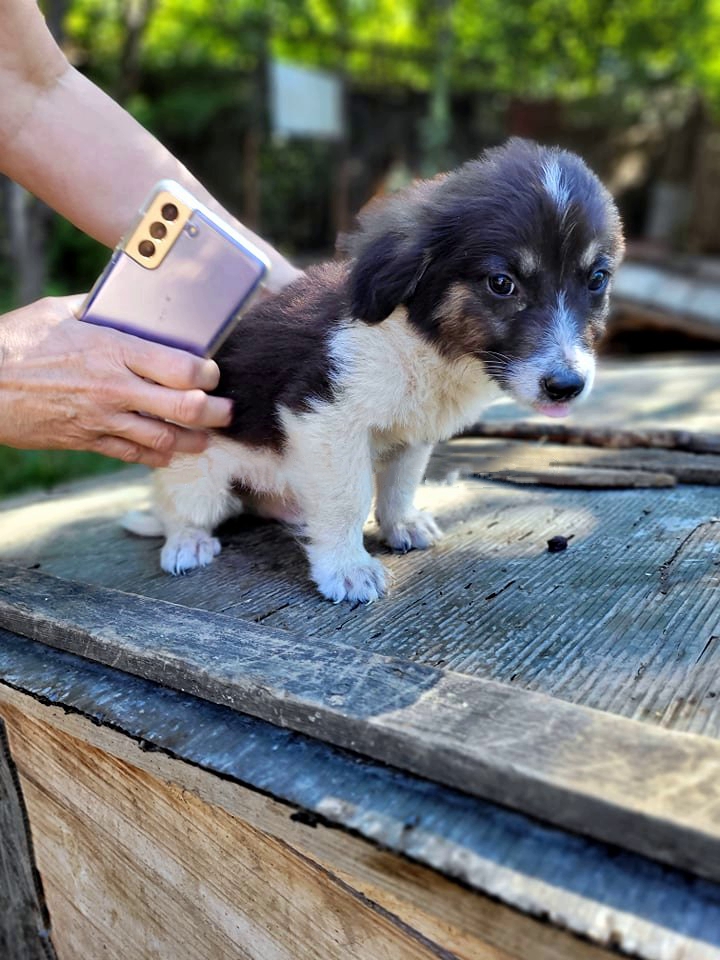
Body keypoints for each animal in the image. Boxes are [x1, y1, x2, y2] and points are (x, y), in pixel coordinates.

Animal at [125, 137, 624, 600]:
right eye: (502, 283)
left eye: (597, 279)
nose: (567, 387)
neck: (429, 347)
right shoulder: (323, 417)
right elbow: (349, 495)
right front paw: (346, 567)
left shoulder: (414, 433)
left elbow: (401, 483)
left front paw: (401, 525)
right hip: (199, 477)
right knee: (178, 508)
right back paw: (187, 541)